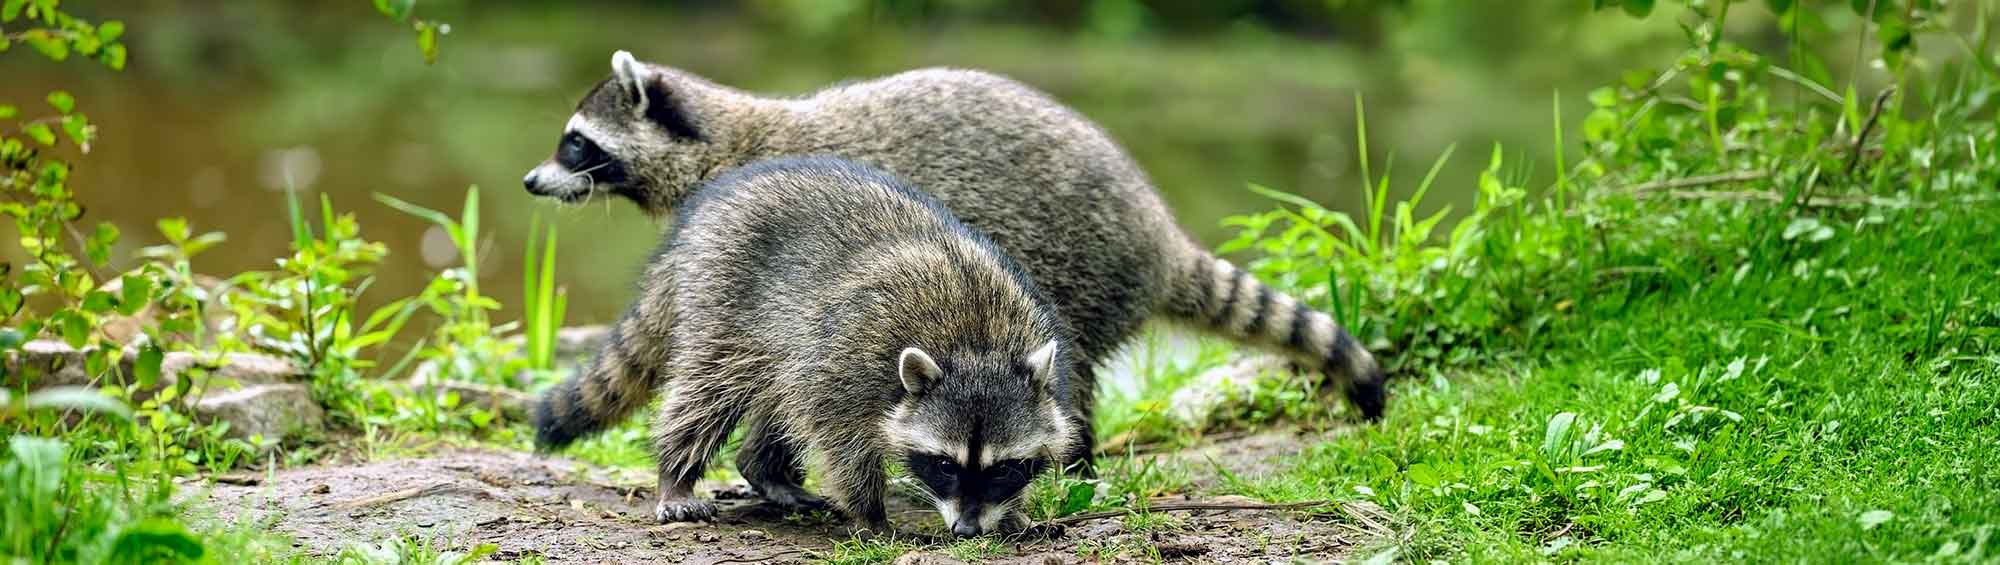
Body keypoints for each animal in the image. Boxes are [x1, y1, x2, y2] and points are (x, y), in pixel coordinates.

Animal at [528, 52, 1387, 468]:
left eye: (576, 143)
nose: (532, 181)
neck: (725, 140)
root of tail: (1155, 233)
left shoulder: (796, 241)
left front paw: (765, 463)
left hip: (1066, 269)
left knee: (1063, 367)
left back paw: (1073, 461)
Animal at [641, 157, 1076, 536]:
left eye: (1002, 468)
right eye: (945, 464)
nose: (967, 530)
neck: (976, 346)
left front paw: (1012, 513)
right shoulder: (850, 359)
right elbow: (839, 439)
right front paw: (870, 512)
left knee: (780, 395)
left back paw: (763, 467)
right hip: (724, 296)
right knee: (710, 389)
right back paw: (677, 472)